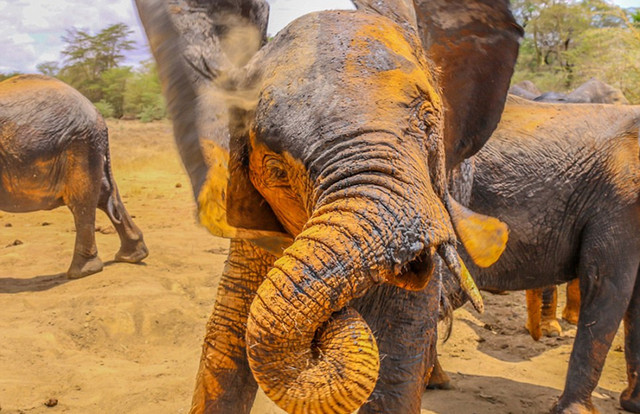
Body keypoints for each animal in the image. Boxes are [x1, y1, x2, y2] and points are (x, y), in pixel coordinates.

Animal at [0, 76, 149, 280]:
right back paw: (132, 256)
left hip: (81, 143)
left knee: (82, 201)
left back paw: (82, 272)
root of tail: (98, 114)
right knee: (104, 193)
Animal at [432, 94, 640, 414]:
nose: (541, 334)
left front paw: (632, 405)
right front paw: (574, 412)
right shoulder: (620, 202)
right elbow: (607, 285)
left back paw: (437, 382)